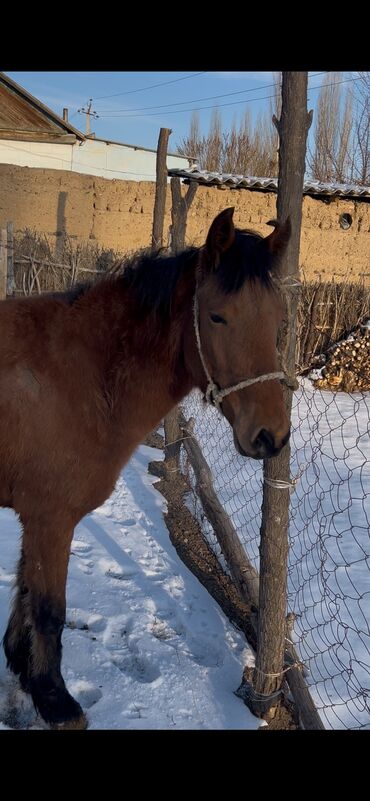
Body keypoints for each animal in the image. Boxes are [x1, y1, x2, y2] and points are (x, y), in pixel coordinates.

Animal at [0, 209, 290, 728]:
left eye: (278, 320)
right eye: (216, 316)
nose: (270, 436)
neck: (79, 376)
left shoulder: (35, 518)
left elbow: (25, 593)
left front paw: (21, 665)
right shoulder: (51, 519)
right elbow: (49, 609)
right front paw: (55, 699)